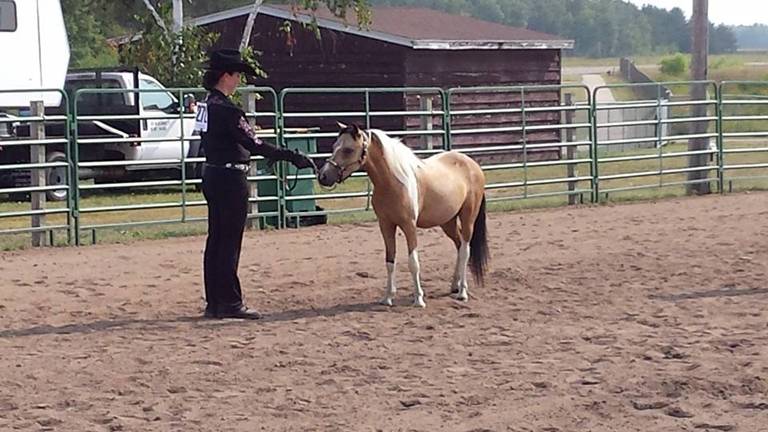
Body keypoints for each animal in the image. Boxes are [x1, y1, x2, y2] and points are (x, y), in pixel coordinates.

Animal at [316, 123, 486, 308]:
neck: (393, 183)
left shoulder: (409, 226)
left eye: (348, 149)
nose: (323, 176)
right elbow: (390, 261)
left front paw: (419, 299)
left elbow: (413, 263)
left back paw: (462, 292)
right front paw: (388, 298)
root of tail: (472, 164)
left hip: (468, 217)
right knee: (459, 246)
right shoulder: (386, 225)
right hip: (447, 221)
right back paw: (454, 286)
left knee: (465, 250)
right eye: (334, 146)